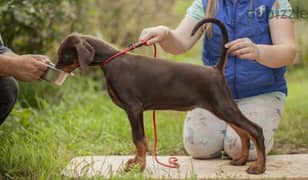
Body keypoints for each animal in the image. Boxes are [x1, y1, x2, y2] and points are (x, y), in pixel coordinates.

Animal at [56, 18, 268, 174]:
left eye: (64, 55)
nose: (55, 67)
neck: (111, 62)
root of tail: (215, 69)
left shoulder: (134, 108)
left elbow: (139, 139)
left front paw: (139, 166)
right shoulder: (135, 111)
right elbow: (139, 139)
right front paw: (136, 162)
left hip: (223, 106)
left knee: (255, 129)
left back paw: (259, 167)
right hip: (220, 108)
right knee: (243, 132)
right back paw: (241, 160)